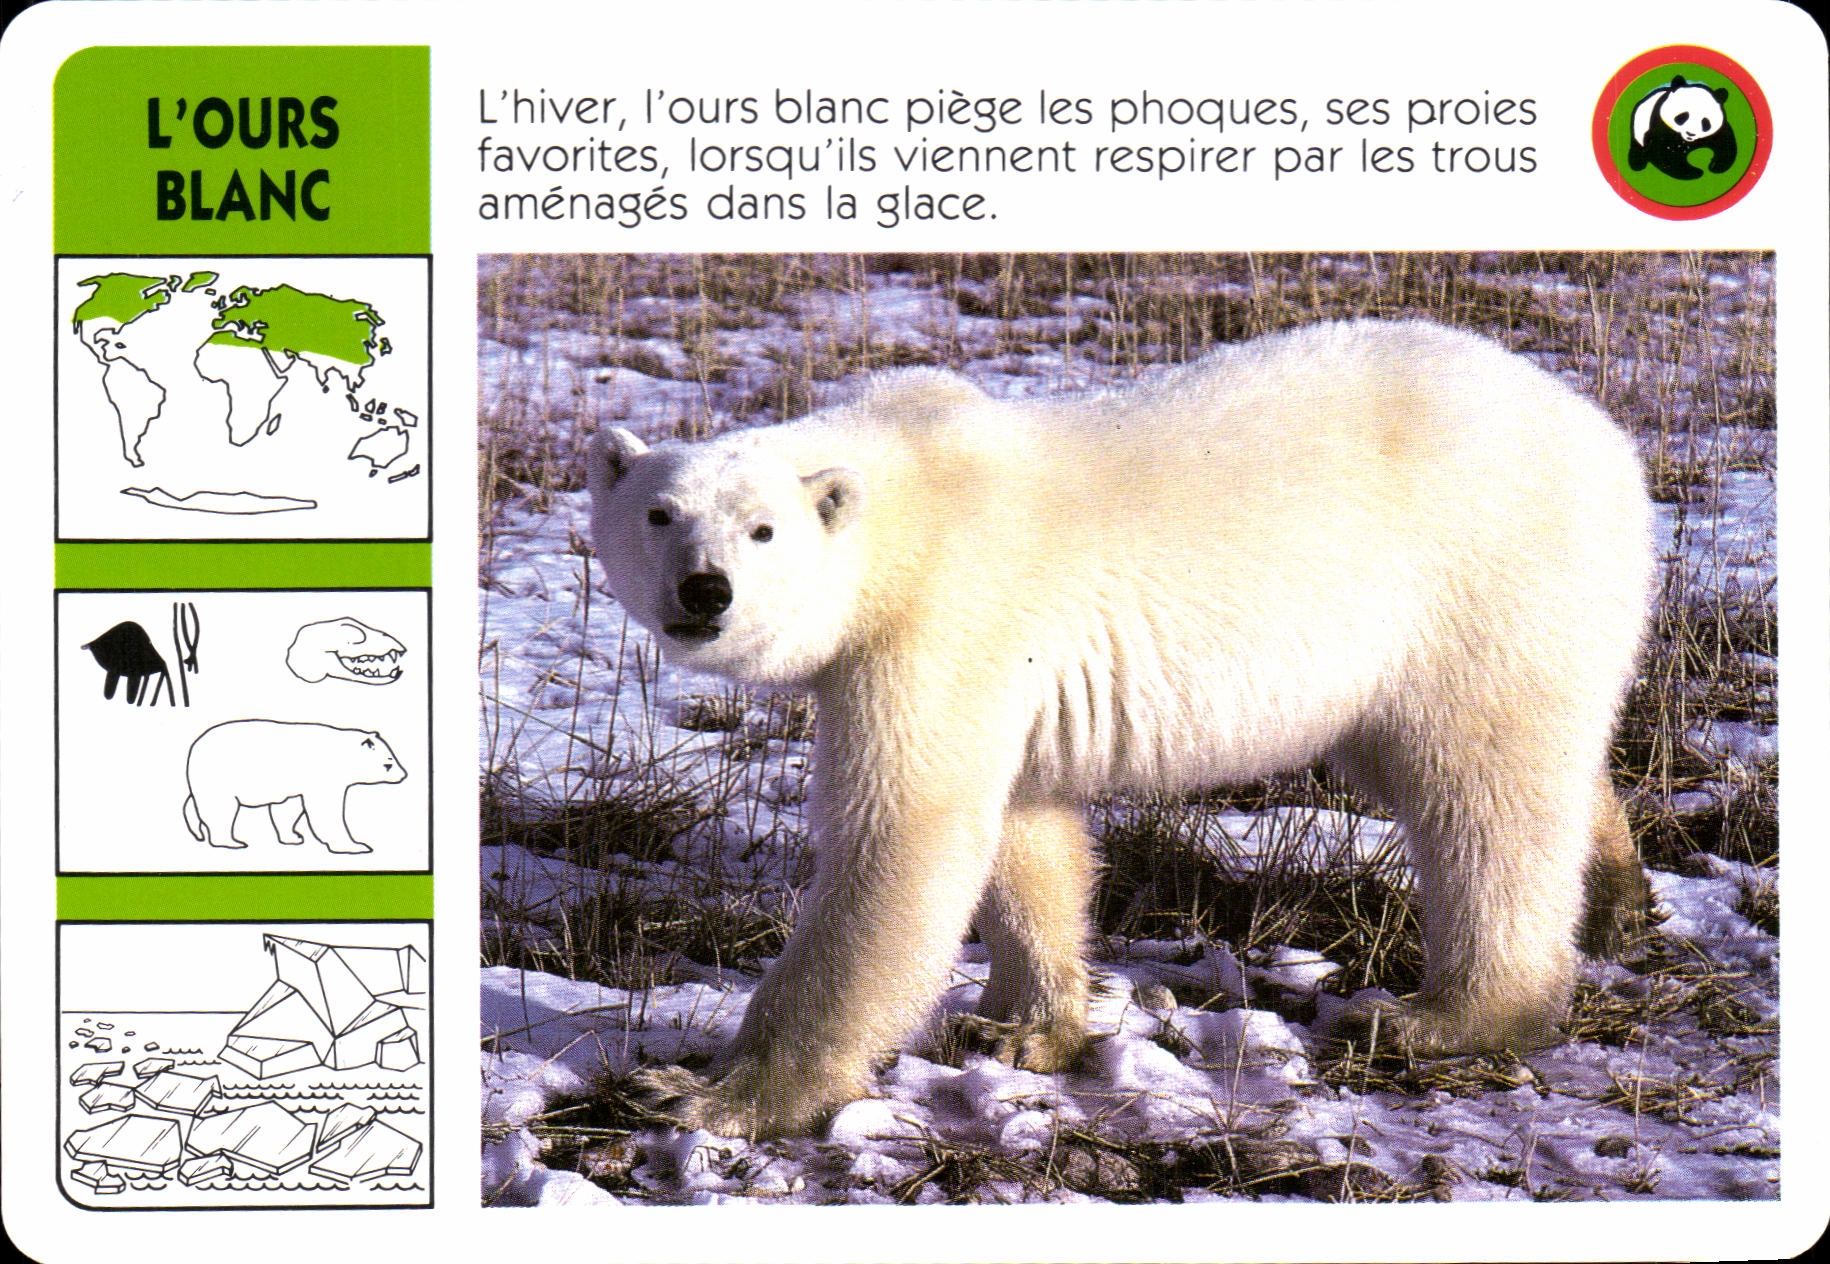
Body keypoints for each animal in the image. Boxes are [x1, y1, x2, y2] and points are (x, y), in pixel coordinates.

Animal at [182, 720, 407, 854]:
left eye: (393, 756)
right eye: (388, 763)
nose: (403, 774)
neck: (337, 755)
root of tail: (194, 747)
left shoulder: (295, 783)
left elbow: (288, 809)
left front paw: (294, 837)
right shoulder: (322, 776)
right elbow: (326, 811)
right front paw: (355, 845)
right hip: (219, 777)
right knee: (220, 809)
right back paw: (231, 841)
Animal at [585, 319, 1656, 1139]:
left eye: (762, 529)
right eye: (659, 513)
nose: (704, 591)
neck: (910, 498)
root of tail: (1610, 441)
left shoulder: (940, 624)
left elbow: (904, 841)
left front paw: (707, 1093)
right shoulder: (994, 677)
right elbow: (1024, 832)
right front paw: (1024, 1028)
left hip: (1485, 582)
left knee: (1481, 792)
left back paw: (1443, 1016)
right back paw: (1618, 893)